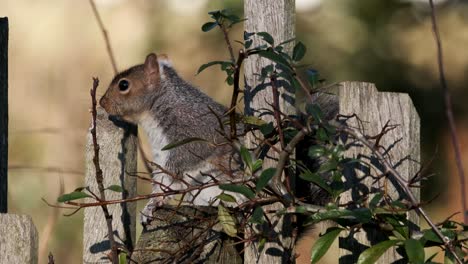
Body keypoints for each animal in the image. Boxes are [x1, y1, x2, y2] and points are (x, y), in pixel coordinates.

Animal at [100, 53, 243, 225]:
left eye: (123, 85)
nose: (102, 102)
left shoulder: (199, 128)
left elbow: (186, 157)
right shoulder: (160, 152)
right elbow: (160, 178)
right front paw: (152, 203)